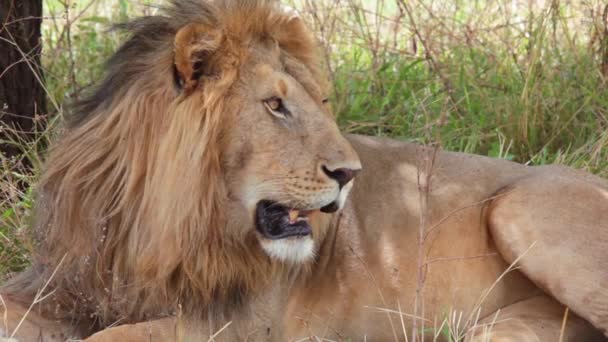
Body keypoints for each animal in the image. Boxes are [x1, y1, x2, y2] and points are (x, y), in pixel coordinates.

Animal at [1, 0, 608, 342]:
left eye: (319, 101)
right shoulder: (63, 282)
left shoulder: (238, 325)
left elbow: (110, 337)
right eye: (275, 105)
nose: (350, 173)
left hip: (520, 209)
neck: (156, 221)